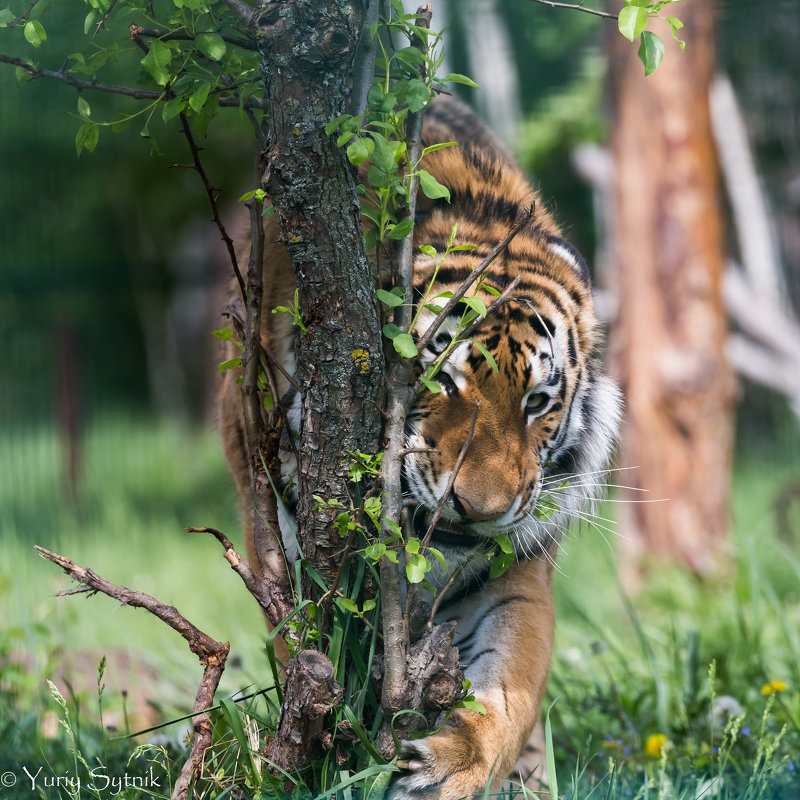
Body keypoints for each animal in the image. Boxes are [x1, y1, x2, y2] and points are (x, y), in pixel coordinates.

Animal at [217, 97, 620, 800]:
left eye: (537, 402)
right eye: (438, 376)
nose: (480, 509)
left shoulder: (517, 570)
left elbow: (508, 690)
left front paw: (454, 763)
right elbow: (309, 651)